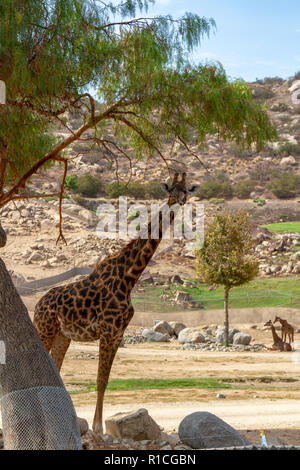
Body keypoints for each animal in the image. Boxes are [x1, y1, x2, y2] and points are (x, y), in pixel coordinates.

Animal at [33, 172, 197, 434]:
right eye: (171, 188)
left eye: (186, 190)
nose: (176, 200)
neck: (130, 276)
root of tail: (38, 305)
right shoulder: (108, 330)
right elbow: (100, 379)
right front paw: (98, 429)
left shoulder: (118, 333)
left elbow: (105, 379)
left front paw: (96, 426)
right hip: (45, 329)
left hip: (62, 336)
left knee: (55, 369)